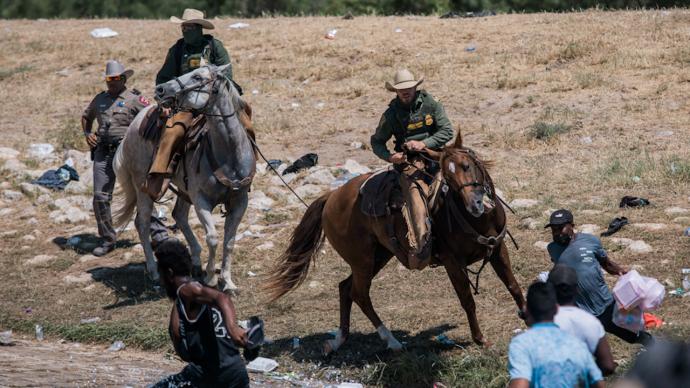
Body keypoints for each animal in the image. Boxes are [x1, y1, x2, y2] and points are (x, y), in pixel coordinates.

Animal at [111, 65, 254, 292]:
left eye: (197, 76)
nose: (160, 90)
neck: (228, 155)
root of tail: (134, 125)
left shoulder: (240, 201)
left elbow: (229, 241)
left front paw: (228, 282)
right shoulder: (201, 200)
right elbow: (213, 238)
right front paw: (211, 278)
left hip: (183, 190)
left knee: (178, 215)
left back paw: (195, 261)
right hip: (143, 188)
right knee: (142, 223)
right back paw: (154, 272)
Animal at [266, 134, 524, 354]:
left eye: (467, 166)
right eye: (448, 177)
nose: (476, 204)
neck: (477, 220)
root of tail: (330, 197)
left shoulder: (497, 249)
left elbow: (513, 285)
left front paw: (525, 314)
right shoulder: (453, 263)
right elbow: (467, 300)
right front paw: (480, 339)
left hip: (378, 256)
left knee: (345, 288)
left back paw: (339, 340)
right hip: (362, 260)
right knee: (359, 293)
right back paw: (391, 341)